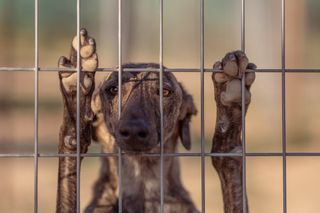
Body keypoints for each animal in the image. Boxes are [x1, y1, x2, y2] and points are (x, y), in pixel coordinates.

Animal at [56, 28, 256, 213]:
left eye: (165, 92)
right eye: (113, 89)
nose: (133, 131)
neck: (143, 186)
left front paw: (230, 102)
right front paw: (76, 88)